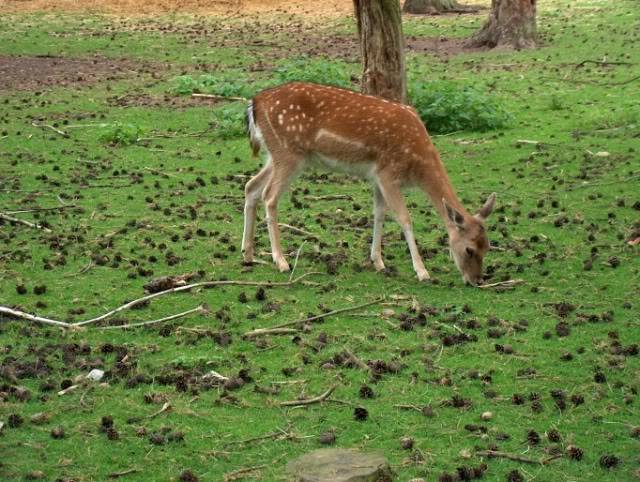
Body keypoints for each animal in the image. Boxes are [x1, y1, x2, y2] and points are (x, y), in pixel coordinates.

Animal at [240, 82, 496, 286]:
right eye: (469, 249)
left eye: (488, 246)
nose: (477, 280)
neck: (418, 164)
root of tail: (255, 102)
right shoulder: (388, 172)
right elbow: (404, 218)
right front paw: (422, 272)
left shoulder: (377, 177)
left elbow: (379, 213)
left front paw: (378, 262)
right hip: (289, 153)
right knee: (269, 196)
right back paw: (281, 261)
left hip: (276, 154)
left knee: (251, 187)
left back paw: (248, 254)